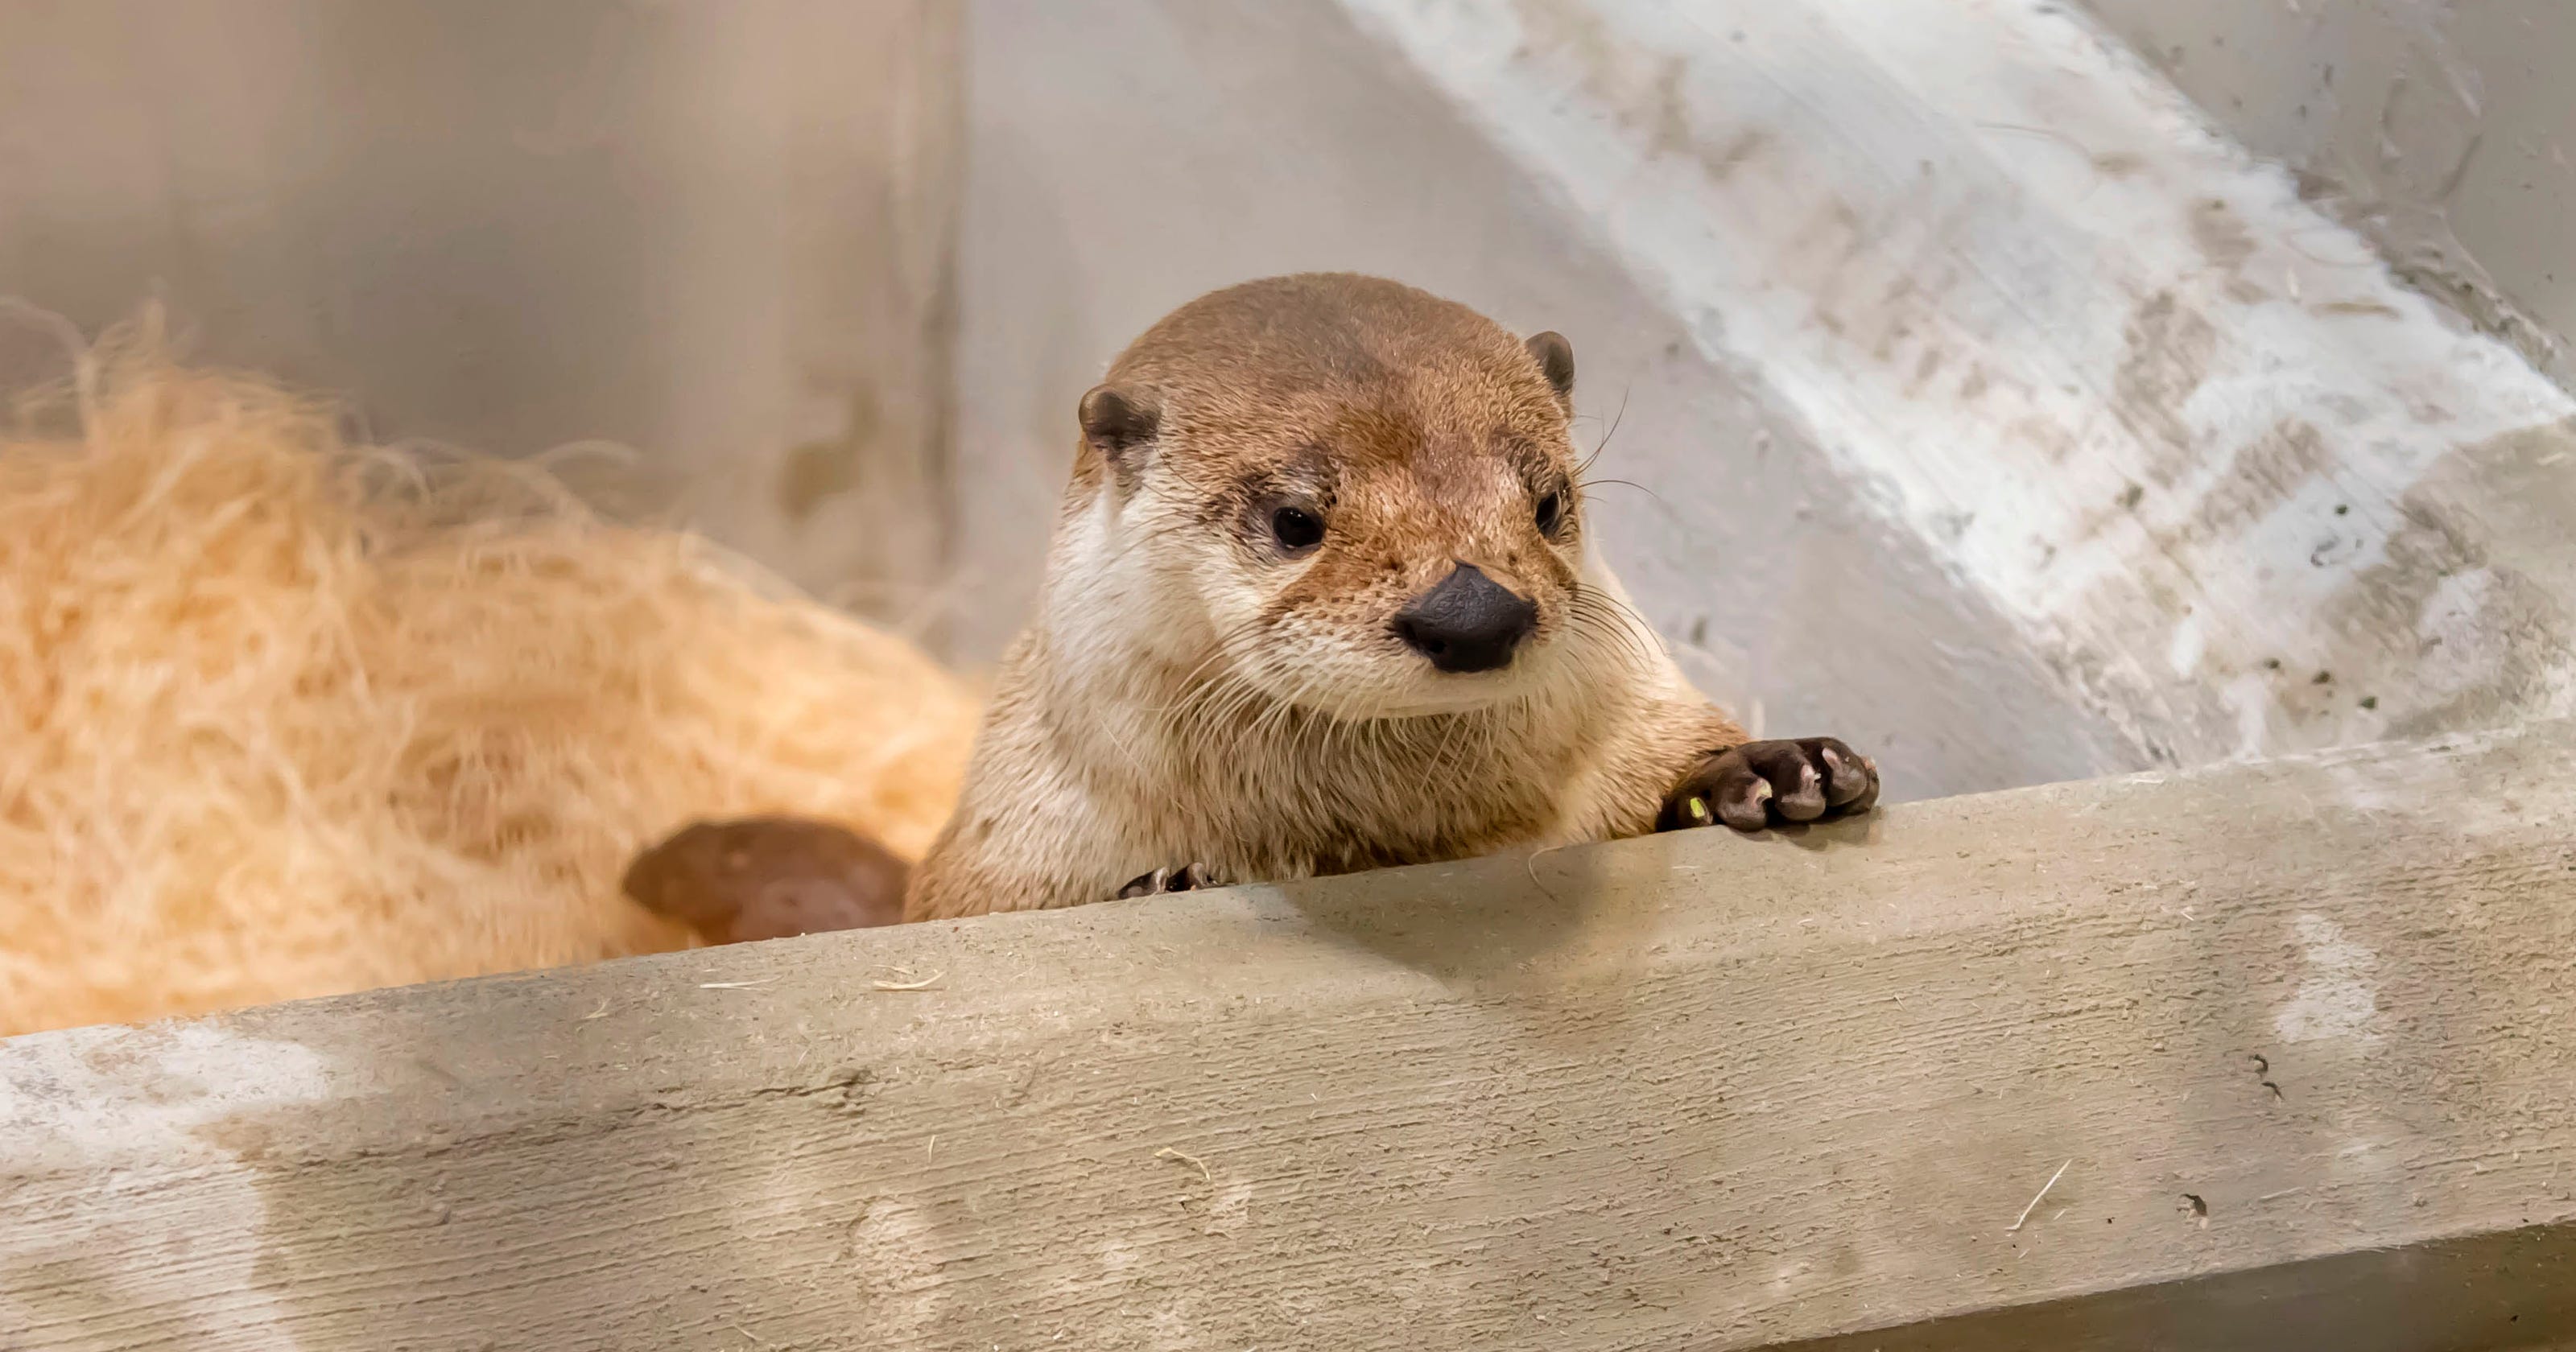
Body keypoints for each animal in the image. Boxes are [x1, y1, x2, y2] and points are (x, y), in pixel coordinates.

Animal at [906, 273, 1876, 920]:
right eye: (1295, 520)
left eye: (1548, 502)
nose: (1474, 614)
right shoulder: (990, 861)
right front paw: (1166, 882)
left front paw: (1770, 770)